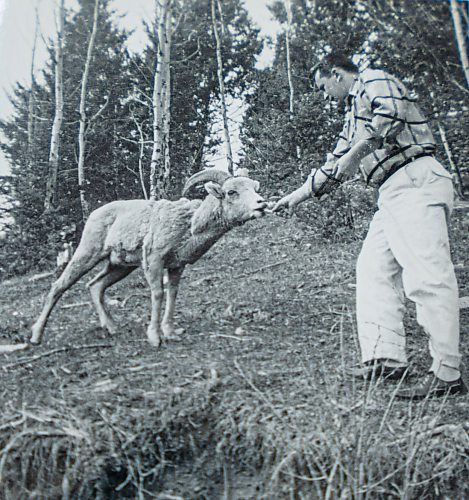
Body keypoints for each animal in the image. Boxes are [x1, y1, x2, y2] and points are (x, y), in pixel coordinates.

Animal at [31, 170, 266, 346]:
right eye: (231, 192)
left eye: (254, 188)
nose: (261, 204)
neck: (189, 225)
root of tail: (94, 214)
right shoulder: (154, 261)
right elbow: (158, 294)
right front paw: (155, 337)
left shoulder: (176, 266)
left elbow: (172, 294)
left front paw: (170, 332)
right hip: (88, 253)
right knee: (59, 286)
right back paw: (36, 336)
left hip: (120, 266)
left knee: (95, 286)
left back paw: (113, 328)